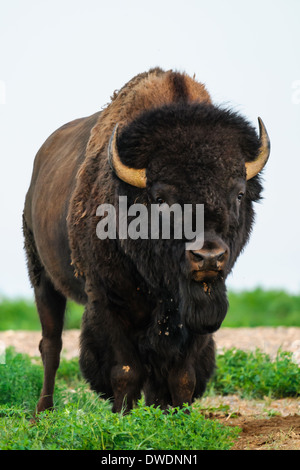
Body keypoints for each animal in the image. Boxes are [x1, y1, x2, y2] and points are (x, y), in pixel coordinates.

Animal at [22, 68, 270, 414]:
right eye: (161, 198)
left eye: (238, 193)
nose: (208, 257)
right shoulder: (106, 300)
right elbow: (125, 370)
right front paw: (123, 416)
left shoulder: (196, 313)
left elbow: (182, 375)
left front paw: (178, 416)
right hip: (42, 276)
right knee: (51, 344)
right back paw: (42, 412)